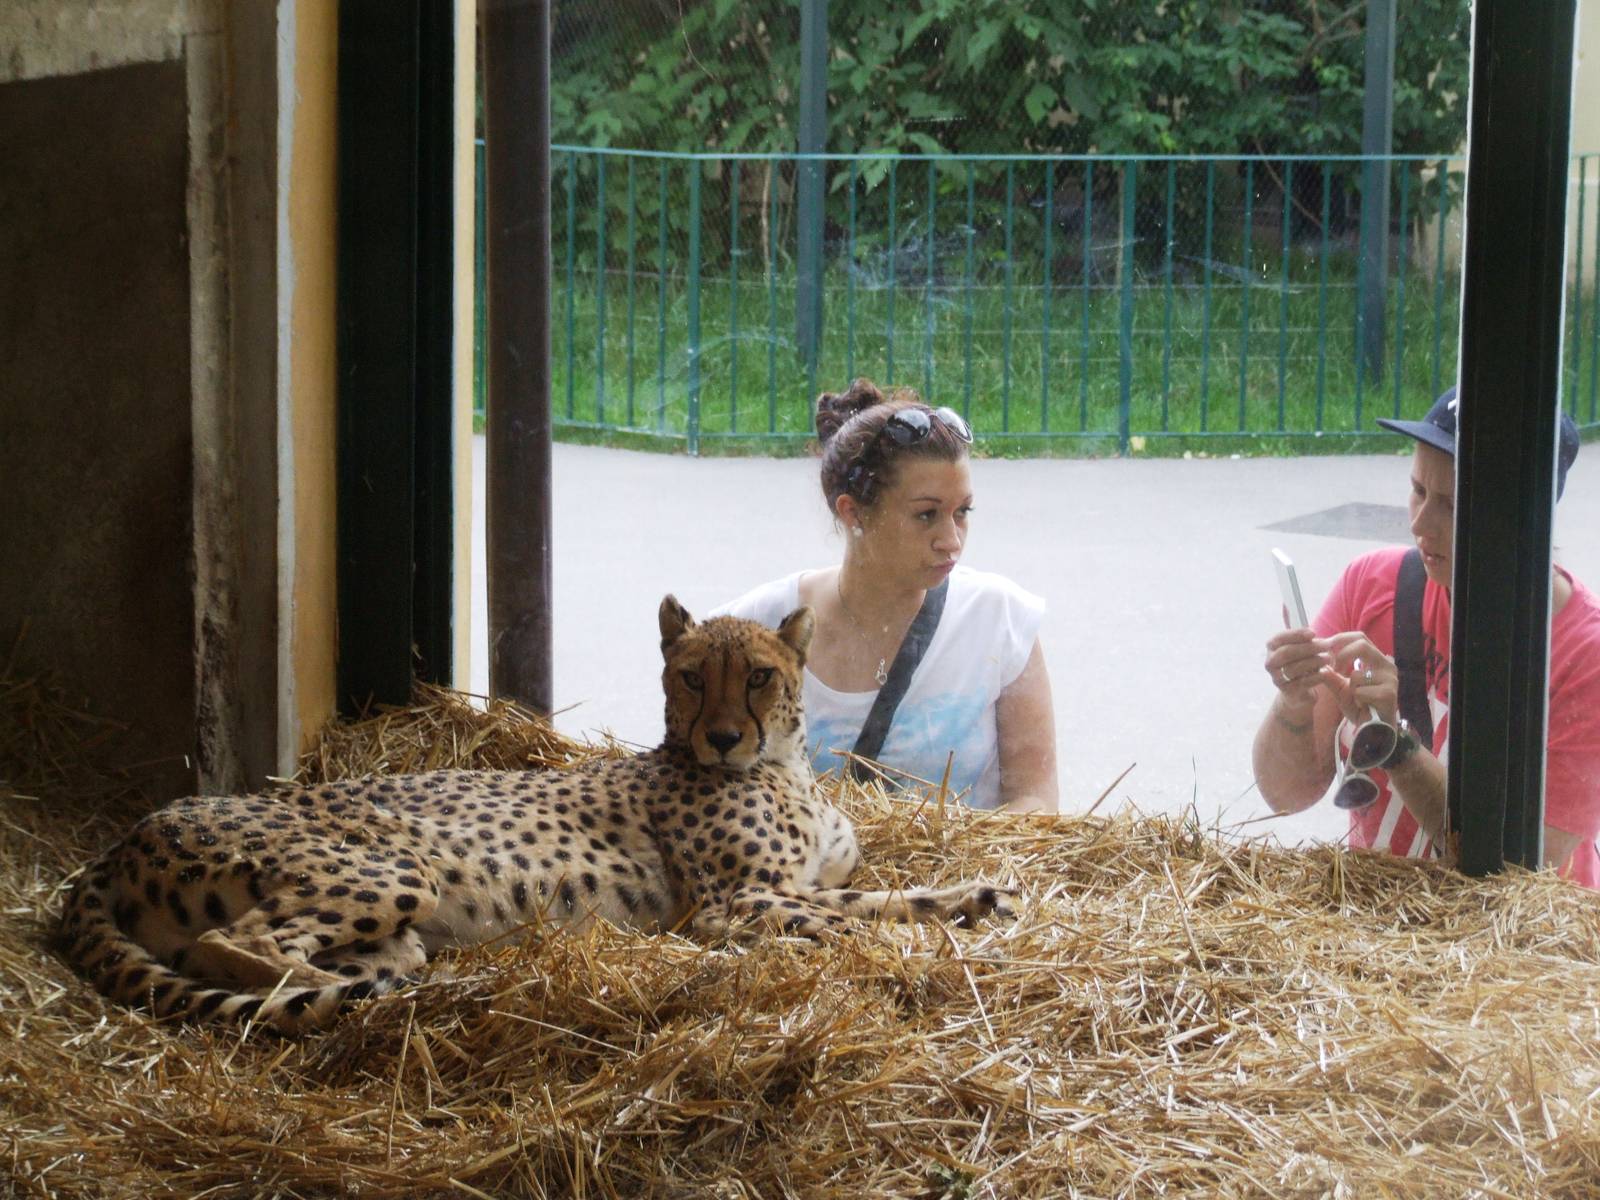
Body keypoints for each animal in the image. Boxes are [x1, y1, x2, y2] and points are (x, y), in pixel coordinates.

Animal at [59, 597, 1015, 1033]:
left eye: (758, 677)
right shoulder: (731, 902)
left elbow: (880, 896)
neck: (779, 767)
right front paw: (922, 946)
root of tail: (125, 837)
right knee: (237, 946)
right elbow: (848, 918)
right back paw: (374, 997)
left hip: (393, 921)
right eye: (690, 677)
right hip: (387, 871)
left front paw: (977, 898)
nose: (722, 738)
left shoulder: (792, 883)